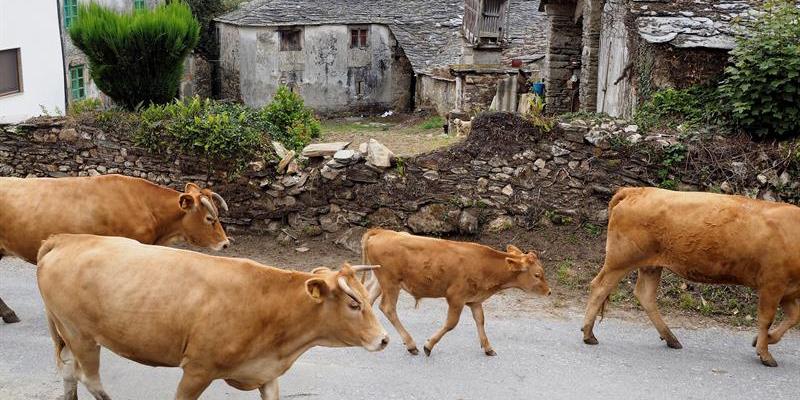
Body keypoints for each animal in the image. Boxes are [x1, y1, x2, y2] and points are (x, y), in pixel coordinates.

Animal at [39, 234, 390, 400]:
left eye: (366, 298)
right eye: (354, 304)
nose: (384, 339)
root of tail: (67, 238)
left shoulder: (266, 372)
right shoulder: (198, 369)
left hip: (68, 333)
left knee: (68, 372)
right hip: (81, 334)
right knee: (88, 377)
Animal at [362, 228, 552, 356]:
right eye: (537, 274)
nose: (549, 291)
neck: (484, 265)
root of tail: (381, 232)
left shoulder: (475, 300)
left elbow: (480, 320)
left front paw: (488, 348)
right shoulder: (456, 297)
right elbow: (451, 323)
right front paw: (428, 345)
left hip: (380, 281)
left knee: (367, 299)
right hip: (390, 283)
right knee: (388, 308)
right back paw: (411, 344)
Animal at [580, 188, 800, 368]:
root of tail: (636, 190)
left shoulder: (788, 291)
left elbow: (793, 317)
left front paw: (765, 340)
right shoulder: (773, 284)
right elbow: (766, 319)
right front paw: (764, 353)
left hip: (651, 265)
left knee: (645, 295)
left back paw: (671, 338)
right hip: (620, 260)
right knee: (600, 287)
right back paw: (589, 334)